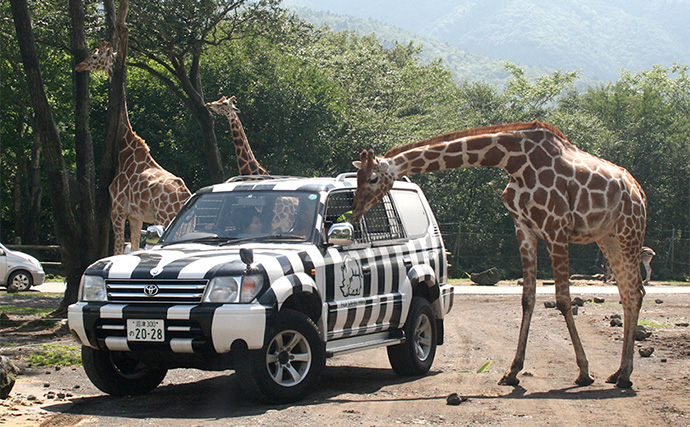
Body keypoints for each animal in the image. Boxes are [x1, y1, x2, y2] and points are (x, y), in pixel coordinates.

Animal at [75, 42, 191, 254]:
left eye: (95, 56)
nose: (79, 65)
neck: (125, 147)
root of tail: (184, 196)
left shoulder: (117, 210)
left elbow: (118, 249)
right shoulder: (136, 216)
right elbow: (135, 246)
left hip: (164, 217)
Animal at [352, 121, 648, 392]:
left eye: (373, 179)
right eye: (357, 178)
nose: (355, 213)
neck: (514, 161)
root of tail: (640, 192)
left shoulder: (556, 229)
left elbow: (563, 300)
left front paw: (584, 372)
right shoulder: (524, 229)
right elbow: (528, 299)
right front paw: (512, 372)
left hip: (629, 233)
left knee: (635, 292)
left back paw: (625, 375)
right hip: (607, 238)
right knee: (628, 292)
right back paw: (617, 372)